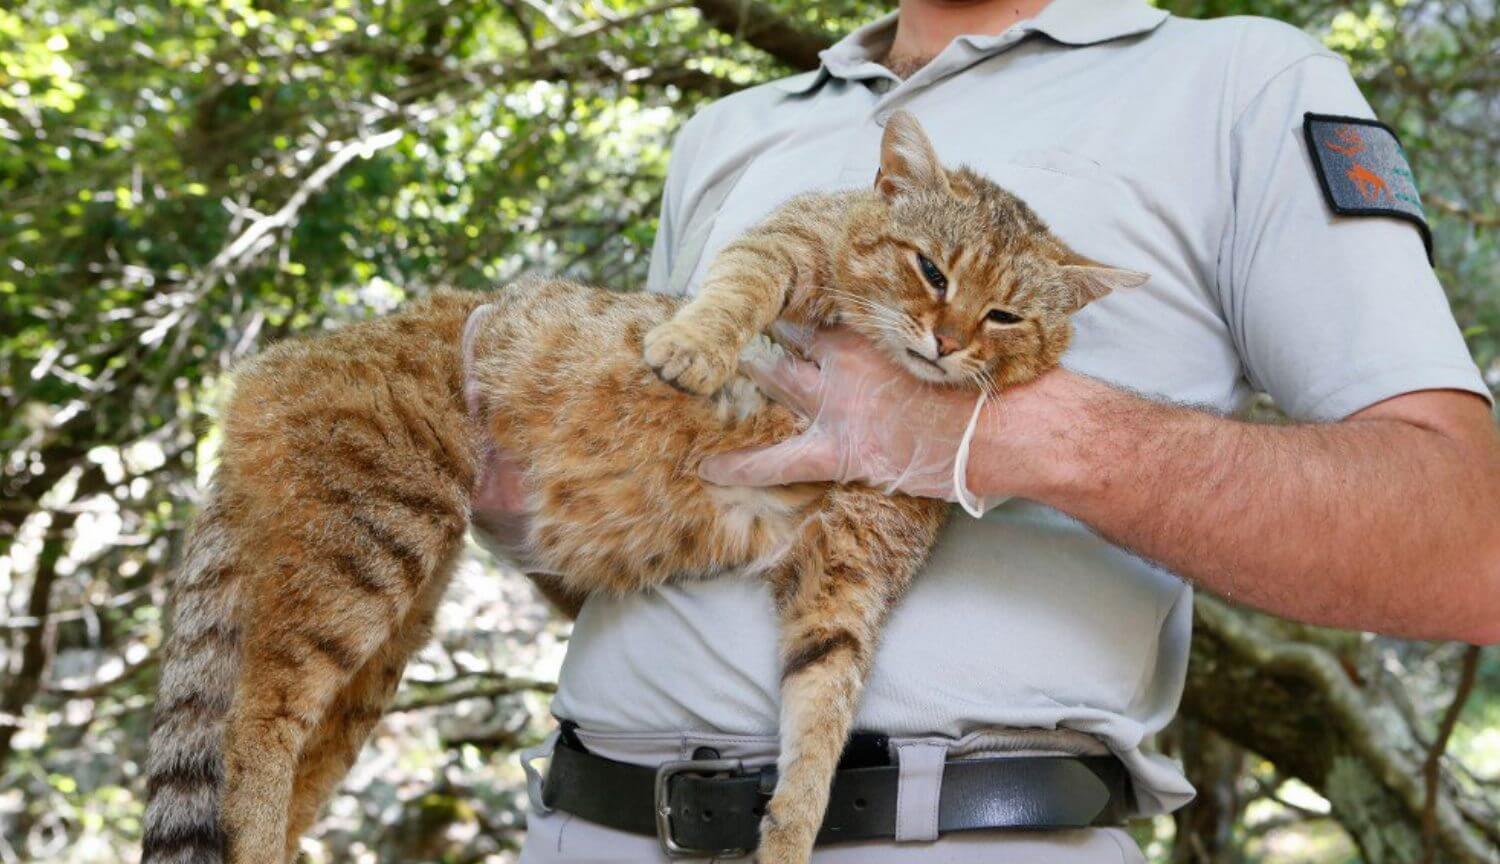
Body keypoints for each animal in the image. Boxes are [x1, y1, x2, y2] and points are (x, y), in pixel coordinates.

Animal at [146, 113, 1140, 864]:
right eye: (931, 268)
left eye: (1004, 315)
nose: (947, 341)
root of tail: (276, 363)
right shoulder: (791, 240)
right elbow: (740, 284)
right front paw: (691, 347)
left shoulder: (846, 574)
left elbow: (821, 718)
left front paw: (790, 833)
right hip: (370, 541)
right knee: (256, 722)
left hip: (384, 631)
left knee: (279, 747)